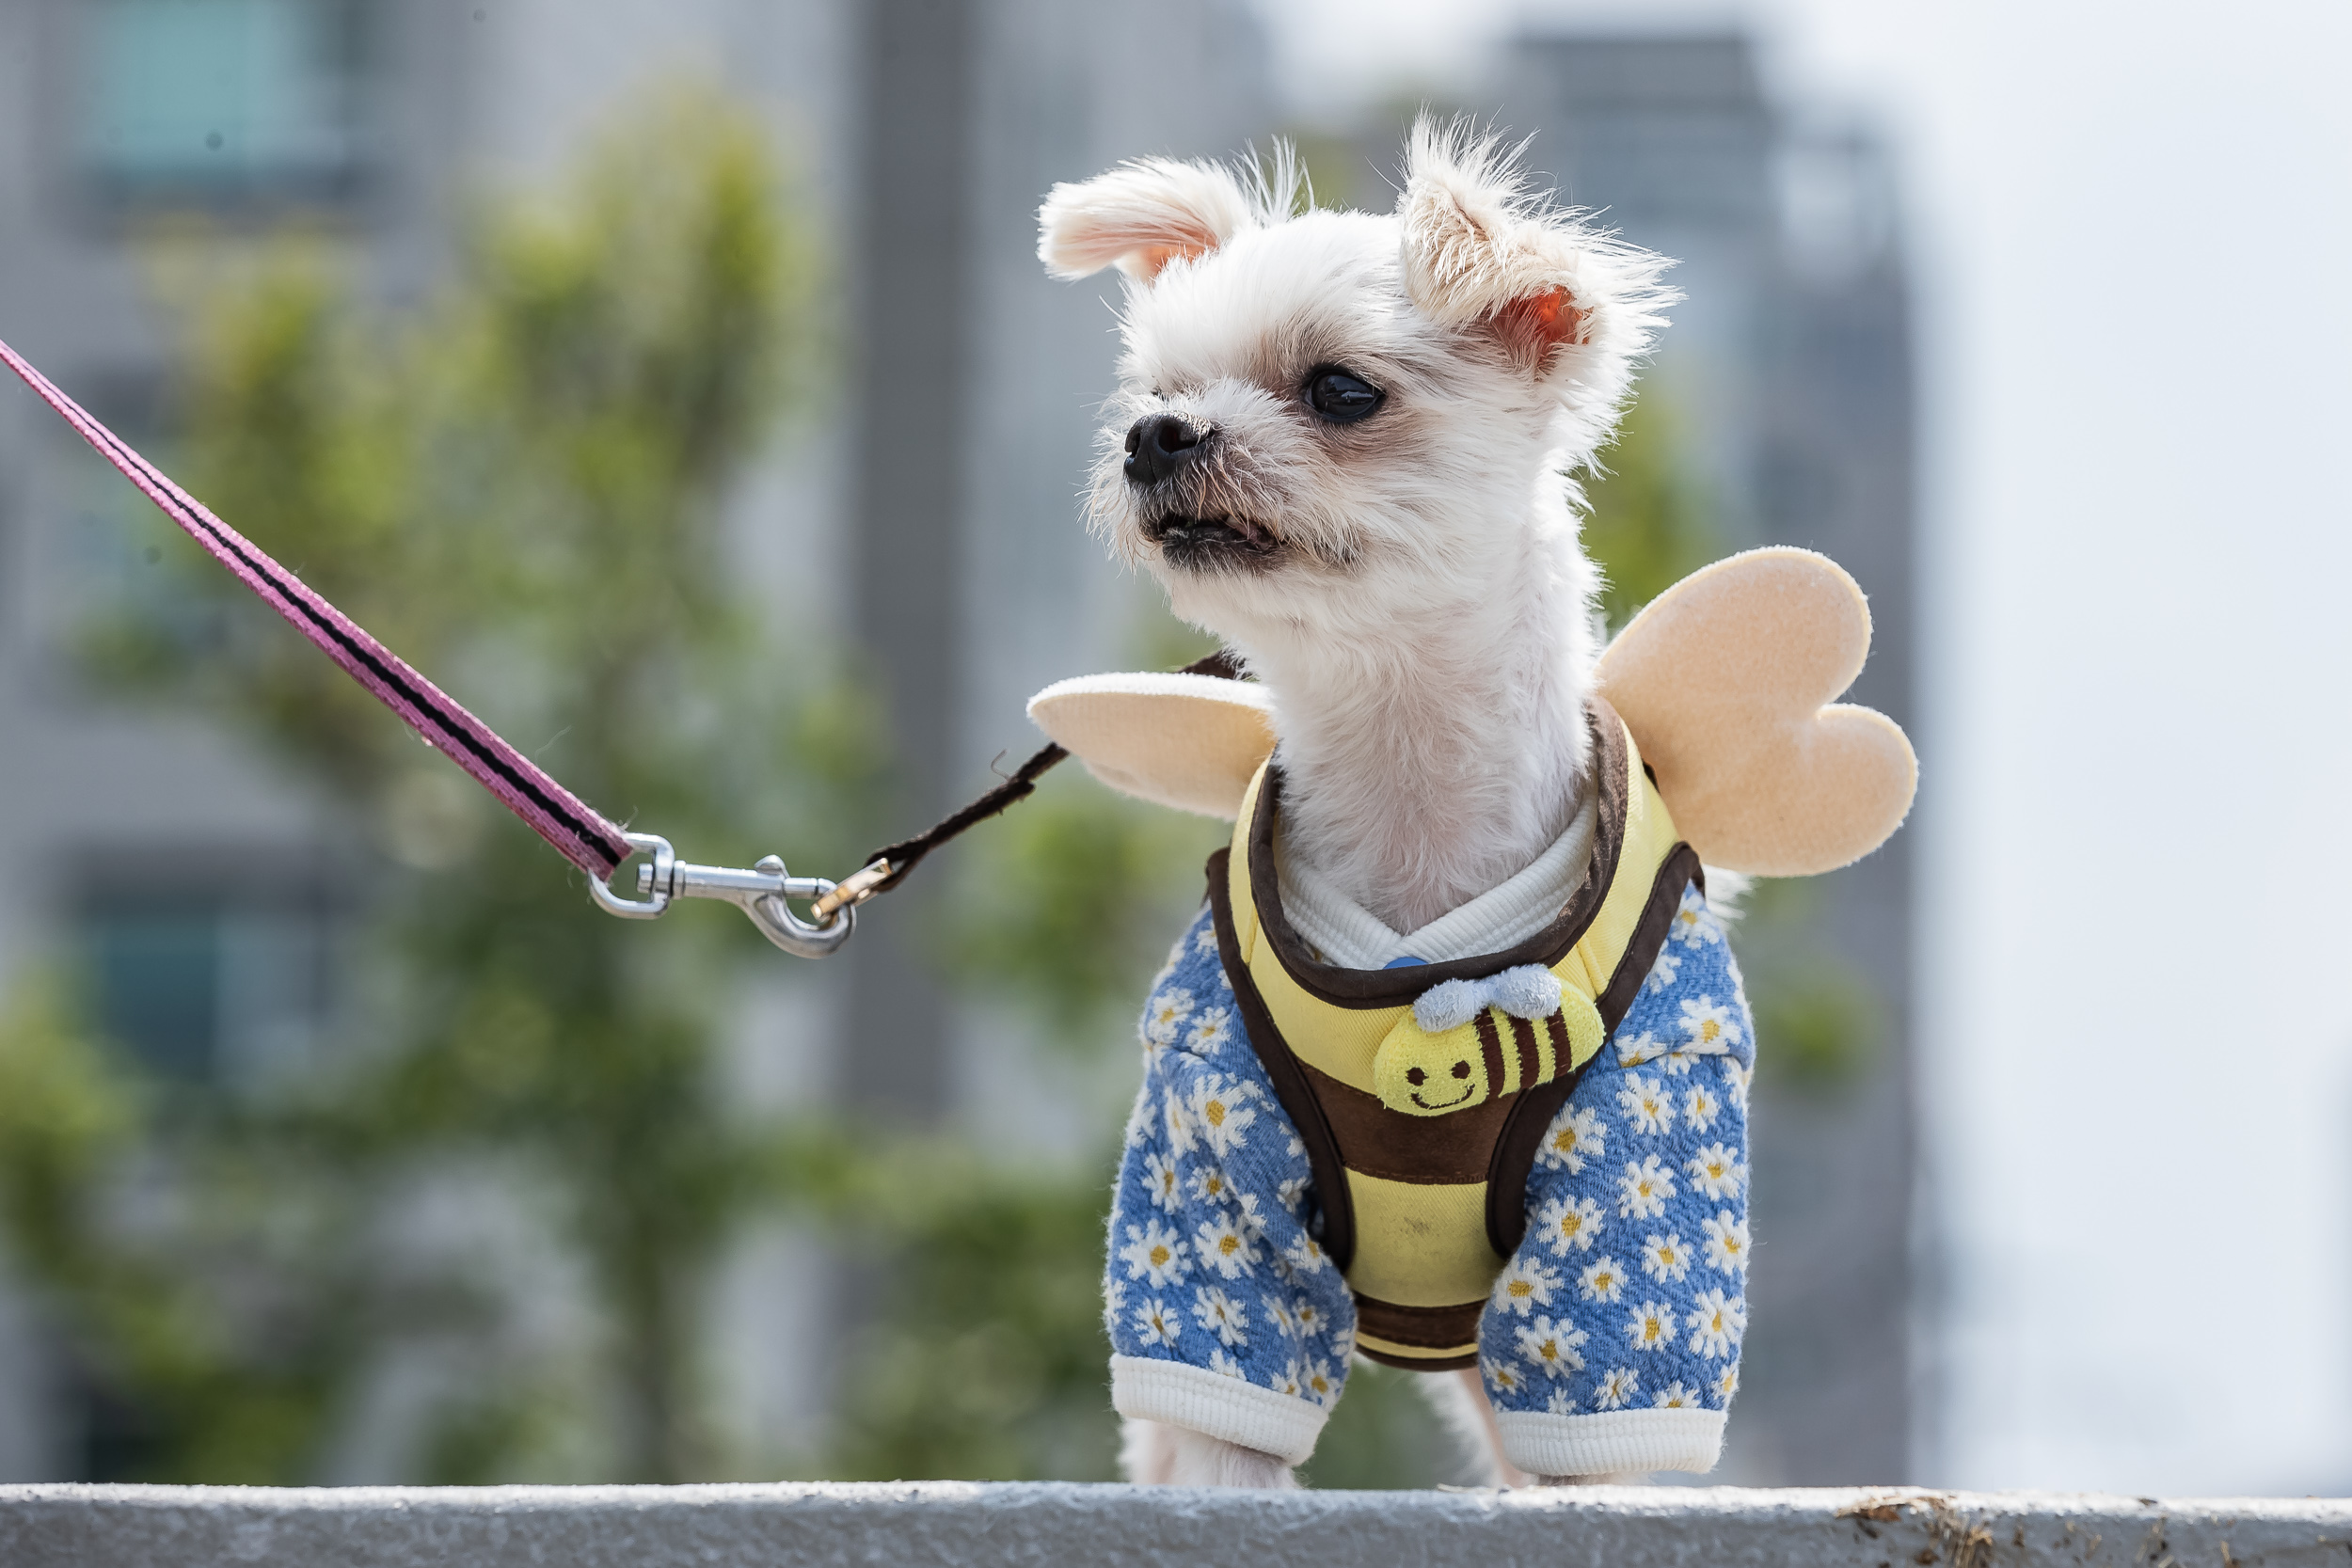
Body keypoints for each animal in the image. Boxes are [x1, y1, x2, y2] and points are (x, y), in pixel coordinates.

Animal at [1040, 128, 1759, 1495]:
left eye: (1339, 390)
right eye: (1156, 385)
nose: (1153, 435)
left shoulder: (1645, 1171)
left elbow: (1597, 1420)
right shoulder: (1206, 1152)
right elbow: (1217, 1408)